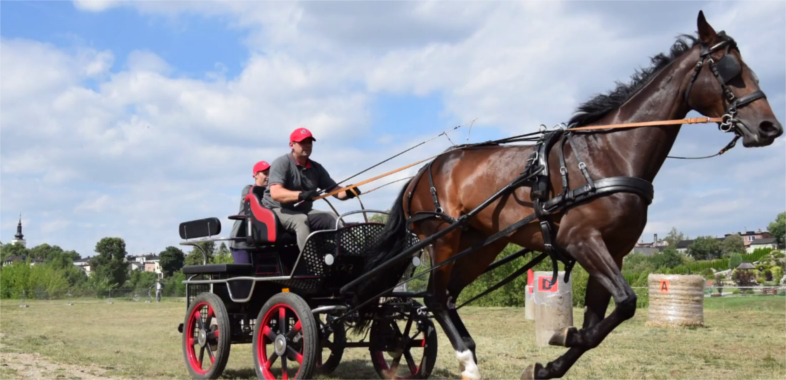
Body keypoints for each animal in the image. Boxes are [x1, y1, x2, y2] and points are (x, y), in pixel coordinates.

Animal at [354, 10, 776, 378]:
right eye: (730, 68)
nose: (770, 127)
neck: (609, 155)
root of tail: (421, 172)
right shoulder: (581, 240)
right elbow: (624, 303)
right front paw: (563, 335)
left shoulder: (614, 251)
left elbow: (607, 317)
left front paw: (550, 362)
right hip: (443, 240)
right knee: (434, 298)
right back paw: (467, 362)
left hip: (480, 244)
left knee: (448, 297)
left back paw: (469, 354)